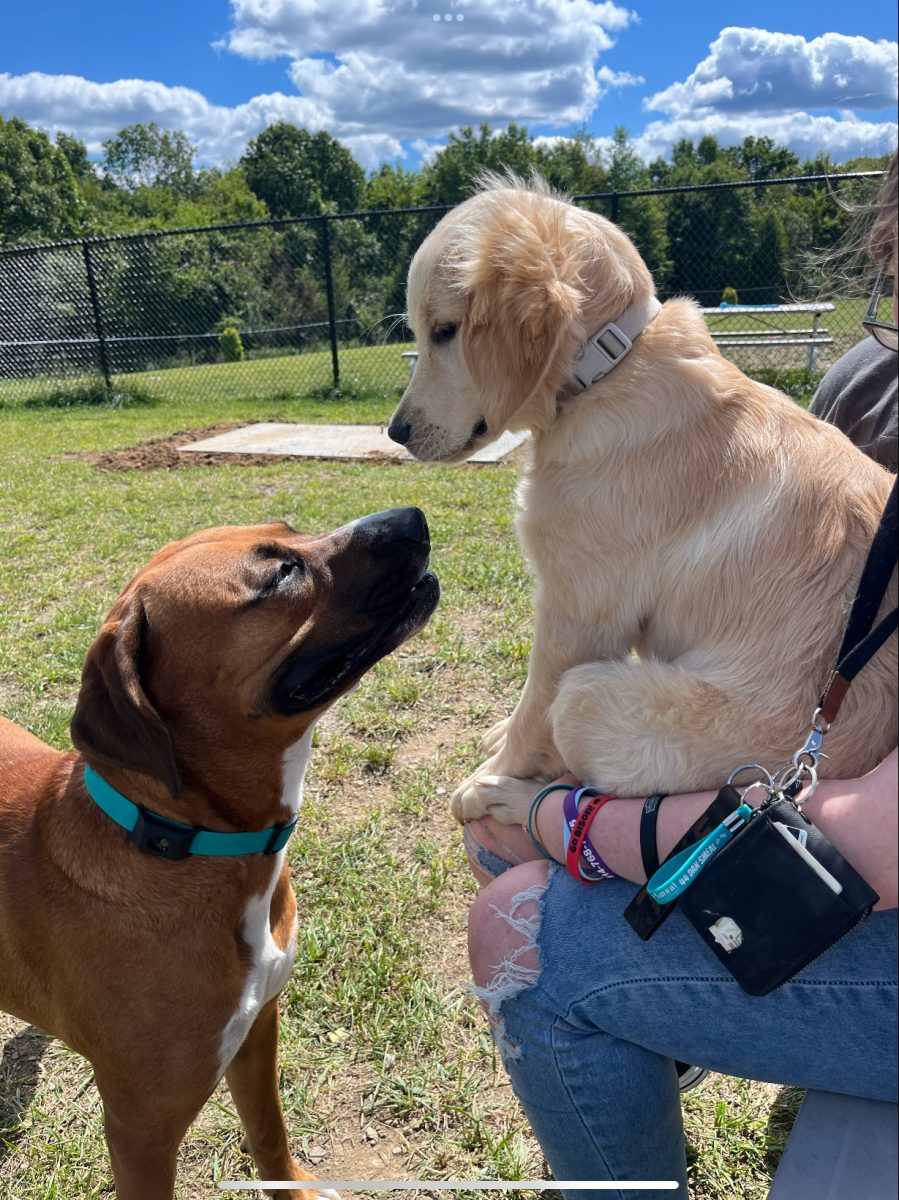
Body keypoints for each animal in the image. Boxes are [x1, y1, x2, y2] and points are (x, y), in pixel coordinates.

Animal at [0, 501, 439, 1195]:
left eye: (290, 530)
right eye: (279, 576)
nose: (412, 515)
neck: (186, 840)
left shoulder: (259, 1031)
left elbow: (269, 1133)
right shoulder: (141, 1133)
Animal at [386, 177, 897, 820]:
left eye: (446, 331)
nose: (395, 432)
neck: (610, 369)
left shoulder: (578, 616)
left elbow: (534, 709)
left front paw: (493, 773)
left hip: (594, 696)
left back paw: (508, 799)